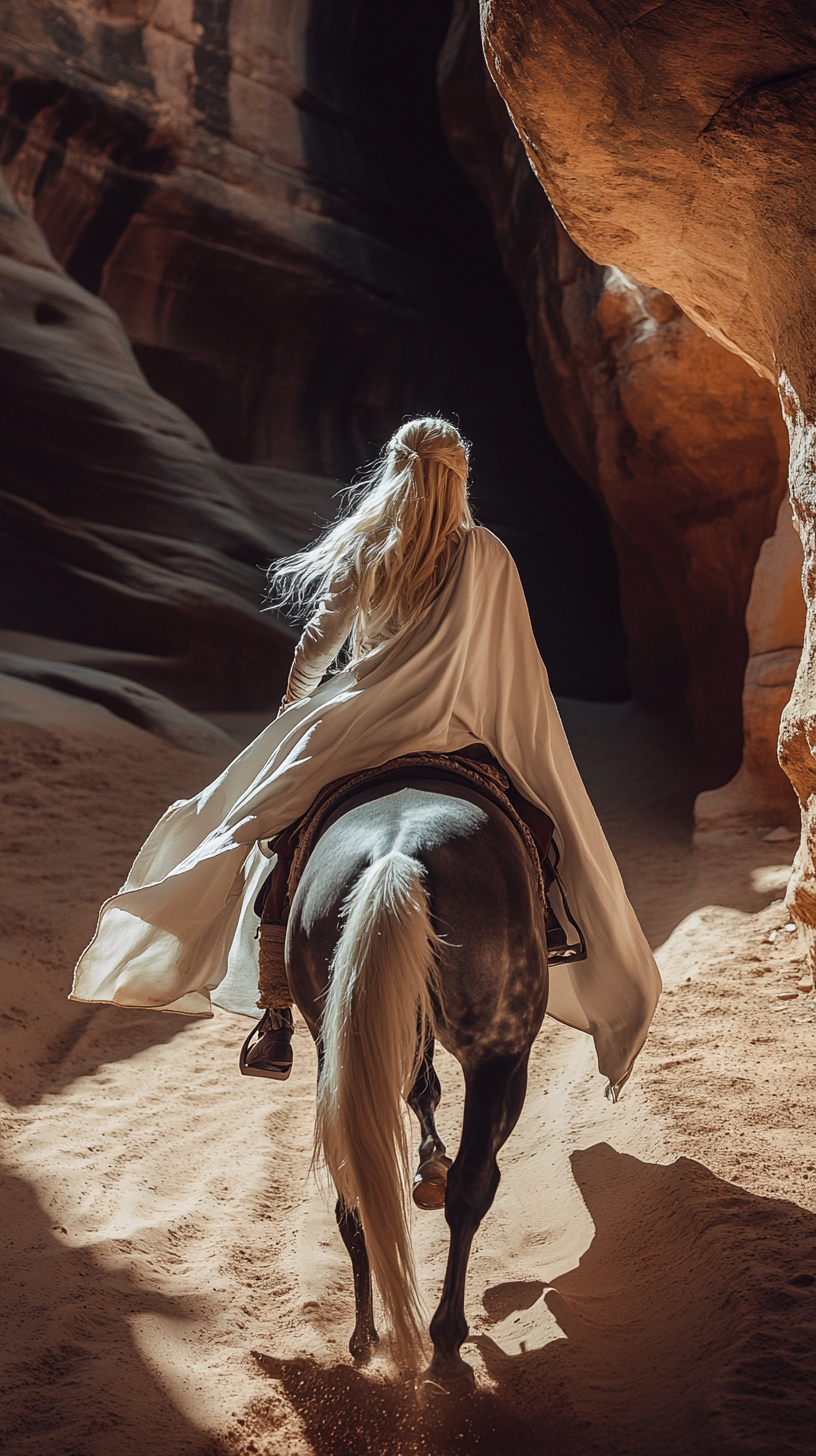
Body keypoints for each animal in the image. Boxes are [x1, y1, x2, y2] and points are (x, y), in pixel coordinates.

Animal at [287, 774, 547, 1386]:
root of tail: (396, 853)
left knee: (351, 1185)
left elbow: (420, 1086)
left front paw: (427, 1162)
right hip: (500, 1048)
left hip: (336, 1040)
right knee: (474, 1183)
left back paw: (365, 1339)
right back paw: (446, 1347)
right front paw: (432, 1165)